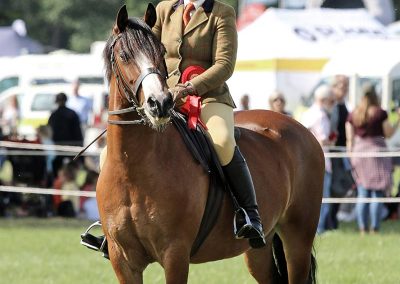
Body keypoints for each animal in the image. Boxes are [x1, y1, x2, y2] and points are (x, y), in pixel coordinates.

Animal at [97, 4, 324, 284]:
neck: (132, 169)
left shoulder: (175, 253)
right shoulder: (123, 259)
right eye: (124, 55)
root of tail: (303, 131)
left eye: (160, 52)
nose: (160, 103)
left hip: (297, 239)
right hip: (260, 249)